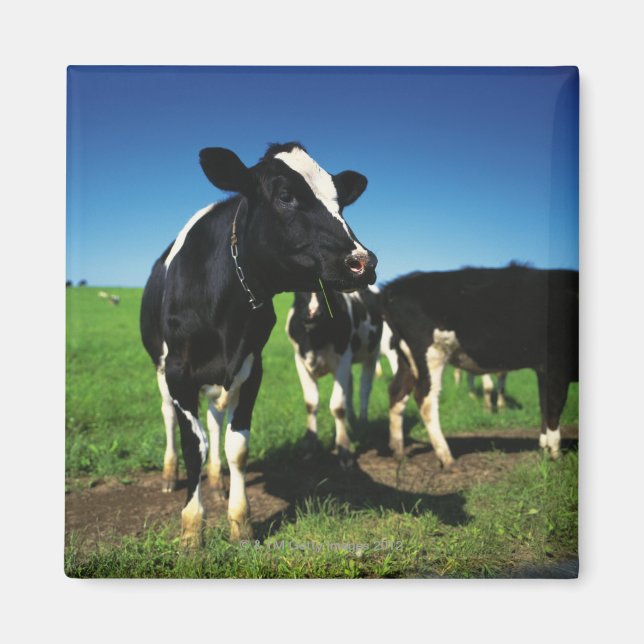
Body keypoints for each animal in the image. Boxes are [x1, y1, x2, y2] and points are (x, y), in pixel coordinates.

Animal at [285, 287, 382, 467]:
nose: (313, 314)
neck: (315, 340)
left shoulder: (343, 359)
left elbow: (337, 406)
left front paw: (344, 449)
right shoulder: (300, 360)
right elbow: (311, 403)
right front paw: (309, 446)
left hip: (373, 353)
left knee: (364, 389)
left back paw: (363, 423)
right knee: (350, 387)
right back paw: (352, 420)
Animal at [382, 265, 578, 467]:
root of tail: (394, 286)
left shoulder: (543, 370)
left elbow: (544, 406)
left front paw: (544, 449)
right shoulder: (555, 366)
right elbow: (554, 408)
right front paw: (556, 455)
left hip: (406, 357)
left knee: (397, 391)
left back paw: (398, 451)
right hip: (431, 353)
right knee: (425, 398)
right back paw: (446, 457)